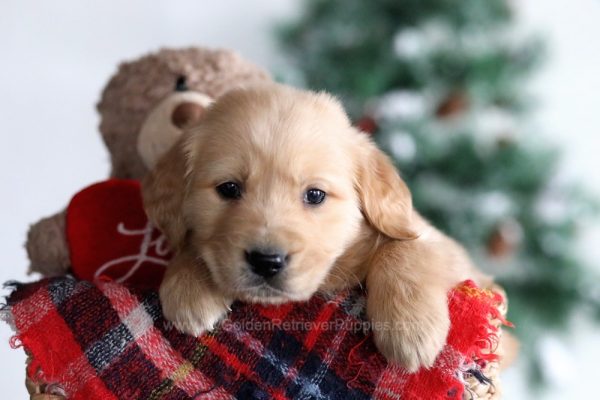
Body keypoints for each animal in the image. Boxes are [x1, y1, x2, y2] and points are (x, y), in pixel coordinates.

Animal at [143, 83, 490, 372]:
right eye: (228, 188)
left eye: (315, 195)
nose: (266, 262)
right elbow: (192, 244)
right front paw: (188, 287)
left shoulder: (455, 257)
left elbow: (406, 247)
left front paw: (410, 329)